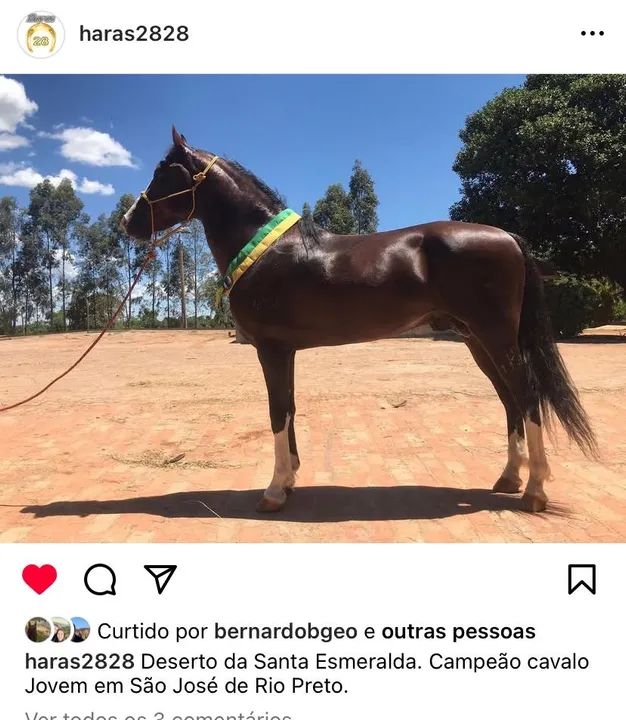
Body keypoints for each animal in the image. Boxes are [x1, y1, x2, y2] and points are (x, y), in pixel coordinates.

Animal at [121, 126, 598, 514]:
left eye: (164, 173)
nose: (127, 222)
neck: (268, 251)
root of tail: (509, 238)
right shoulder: (285, 351)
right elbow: (289, 409)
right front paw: (289, 480)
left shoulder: (271, 350)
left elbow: (277, 412)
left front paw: (274, 491)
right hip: (478, 341)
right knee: (510, 399)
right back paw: (509, 478)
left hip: (495, 337)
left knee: (528, 396)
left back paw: (535, 490)